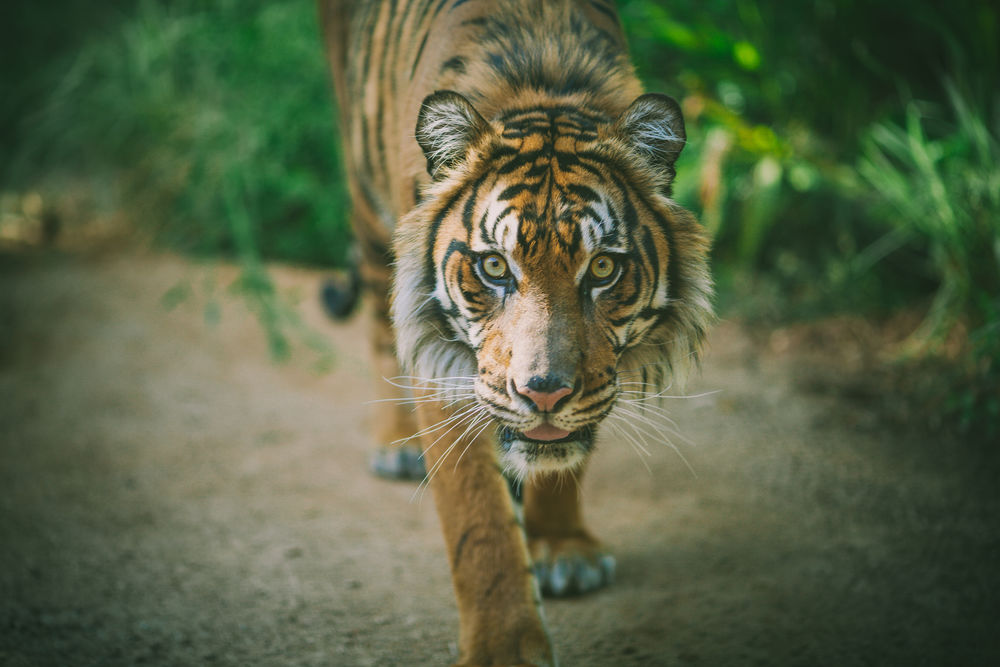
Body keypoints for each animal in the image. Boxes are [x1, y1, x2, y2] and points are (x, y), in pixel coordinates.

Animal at [317, 1, 713, 664]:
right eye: (495, 267)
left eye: (601, 268)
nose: (544, 392)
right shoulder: (450, 373)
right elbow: (479, 524)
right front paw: (502, 646)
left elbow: (564, 453)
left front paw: (563, 548)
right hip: (366, 201)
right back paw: (396, 445)